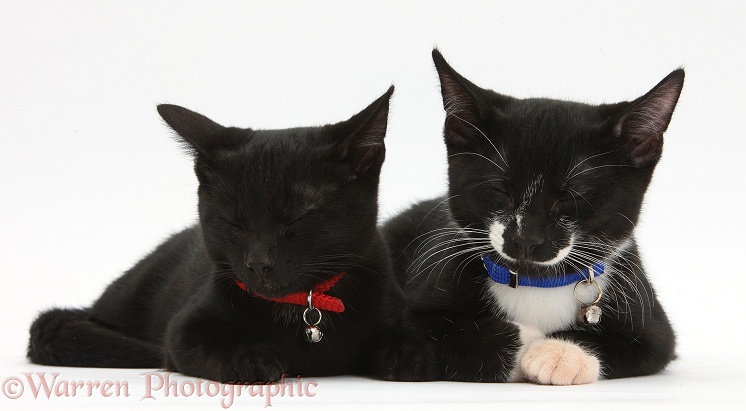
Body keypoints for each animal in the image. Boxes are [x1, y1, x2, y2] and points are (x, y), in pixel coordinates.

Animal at [27, 86, 406, 384]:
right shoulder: (182, 329)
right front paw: (250, 358)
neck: (303, 308)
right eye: (233, 223)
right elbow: (201, 341)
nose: (258, 264)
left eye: (297, 218)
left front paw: (407, 352)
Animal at [386, 50, 684, 384]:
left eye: (570, 197)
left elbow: (640, 344)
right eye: (500, 189)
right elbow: (442, 330)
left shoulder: (656, 330)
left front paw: (558, 351)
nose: (526, 238)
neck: (537, 283)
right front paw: (529, 341)